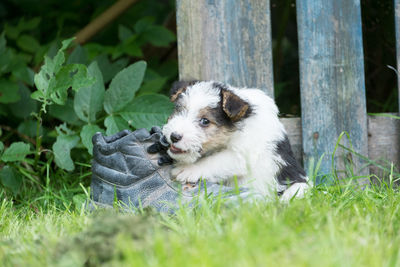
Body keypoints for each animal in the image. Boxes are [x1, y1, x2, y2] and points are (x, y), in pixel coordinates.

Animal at [162, 81, 310, 201]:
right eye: (179, 111)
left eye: (205, 121)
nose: (174, 136)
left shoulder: (244, 152)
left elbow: (214, 161)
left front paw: (188, 169)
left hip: (299, 187)